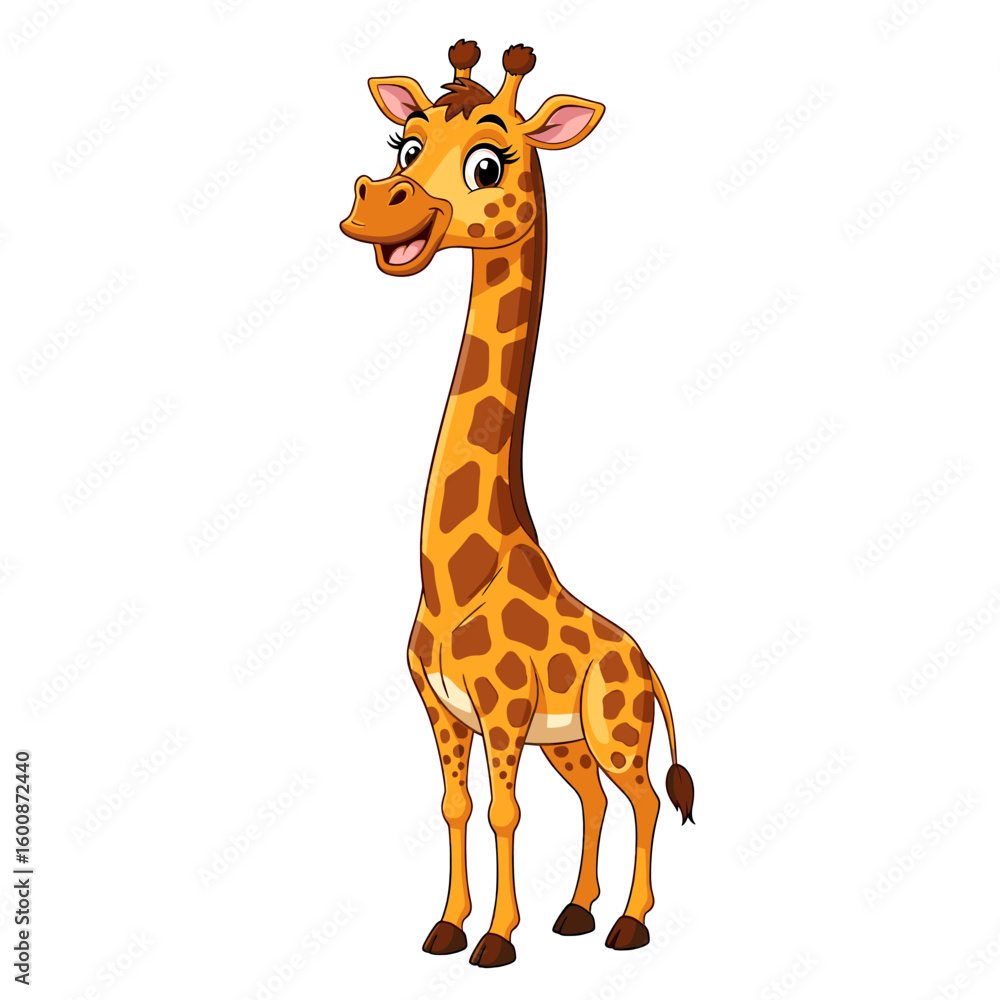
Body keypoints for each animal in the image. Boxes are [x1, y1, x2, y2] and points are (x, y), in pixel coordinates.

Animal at [340, 40, 694, 968]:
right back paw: (576, 913)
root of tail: (648, 665)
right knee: (597, 799)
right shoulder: (442, 709)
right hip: (568, 742)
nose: (375, 210)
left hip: (613, 727)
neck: (454, 577)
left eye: (488, 162)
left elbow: (504, 811)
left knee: (643, 798)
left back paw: (630, 925)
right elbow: (457, 807)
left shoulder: (501, 709)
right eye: (403, 145)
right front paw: (446, 927)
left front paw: (496, 939)